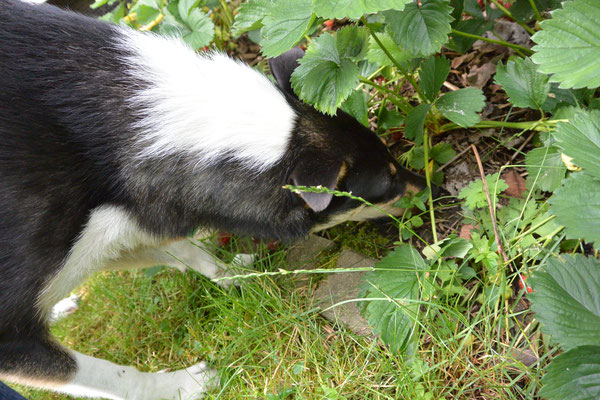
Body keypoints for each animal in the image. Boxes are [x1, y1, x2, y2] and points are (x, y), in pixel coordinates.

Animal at [0, 1, 432, 398]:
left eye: (394, 160)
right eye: (386, 183)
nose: (432, 189)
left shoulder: (127, 226)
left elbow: (189, 253)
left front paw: (237, 277)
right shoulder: (13, 334)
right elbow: (111, 375)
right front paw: (184, 385)